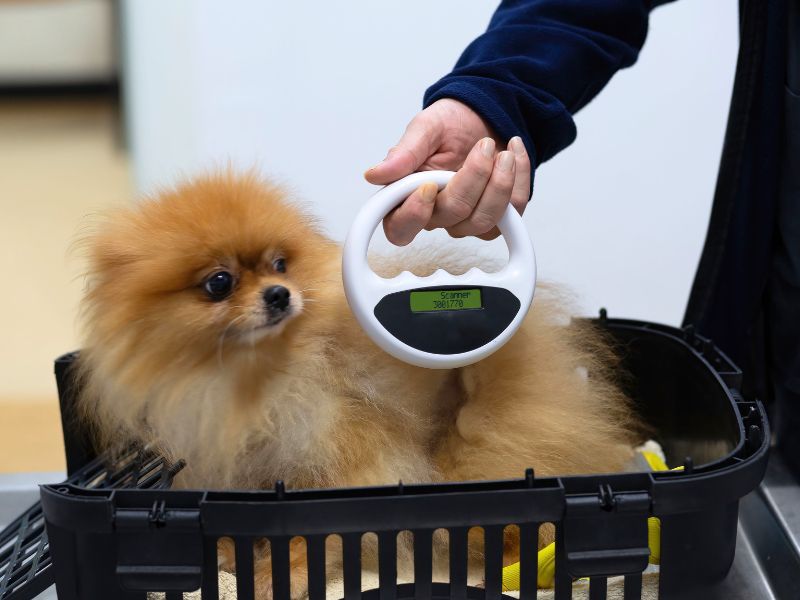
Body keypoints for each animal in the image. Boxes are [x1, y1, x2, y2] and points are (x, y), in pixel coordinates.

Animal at [73, 171, 636, 596]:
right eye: (219, 283)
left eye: (280, 264)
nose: (280, 293)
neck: (254, 379)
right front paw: (232, 557)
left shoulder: (343, 453)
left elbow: (306, 534)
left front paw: (280, 575)